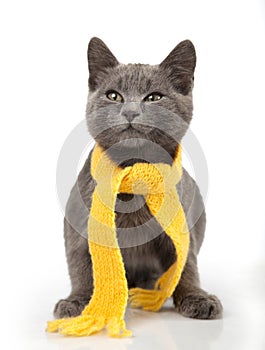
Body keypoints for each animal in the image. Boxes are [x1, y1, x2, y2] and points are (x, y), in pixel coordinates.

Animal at [53, 37, 223, 320]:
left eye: (154, 97)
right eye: (113, 95)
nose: (130, 111)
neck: (133, 171)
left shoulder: (181, 227)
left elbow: (186, 265)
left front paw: (196, 298)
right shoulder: (78, 225)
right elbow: (82, 266)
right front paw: (78, 302)